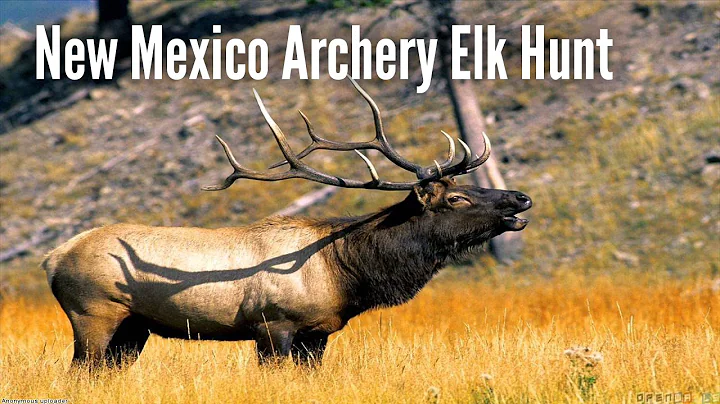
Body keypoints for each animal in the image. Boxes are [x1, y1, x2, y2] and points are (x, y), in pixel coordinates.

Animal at [43, 78, 532, 369]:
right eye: (456, 196)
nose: (520, 198)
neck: (345, 274)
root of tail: (53, 258)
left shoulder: (318, 333)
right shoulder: (272, 325)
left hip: (134, 326)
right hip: (93, 313)